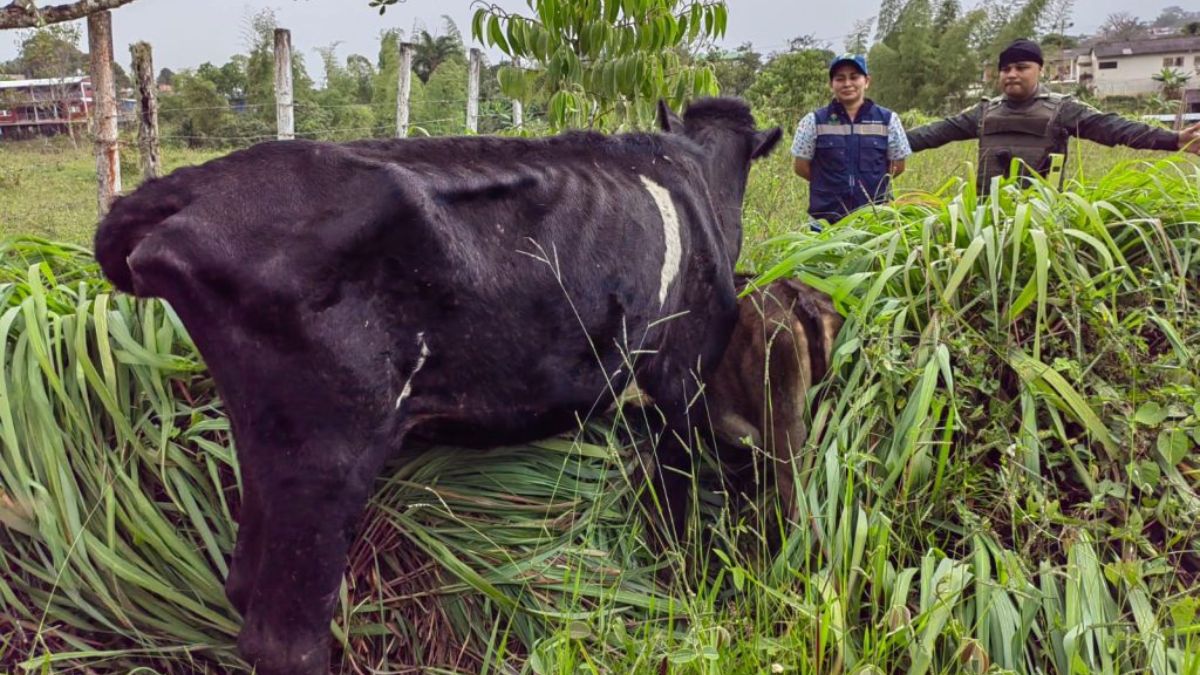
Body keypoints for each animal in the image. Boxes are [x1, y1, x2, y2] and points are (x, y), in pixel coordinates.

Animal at [93, 98, 781, 675]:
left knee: (242, 583)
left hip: (267, 442)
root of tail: (197, 183)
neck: (697, 183)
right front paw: (680, 585)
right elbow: (675, 497)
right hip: (331, 453)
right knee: (286, 642)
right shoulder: (682, 380)